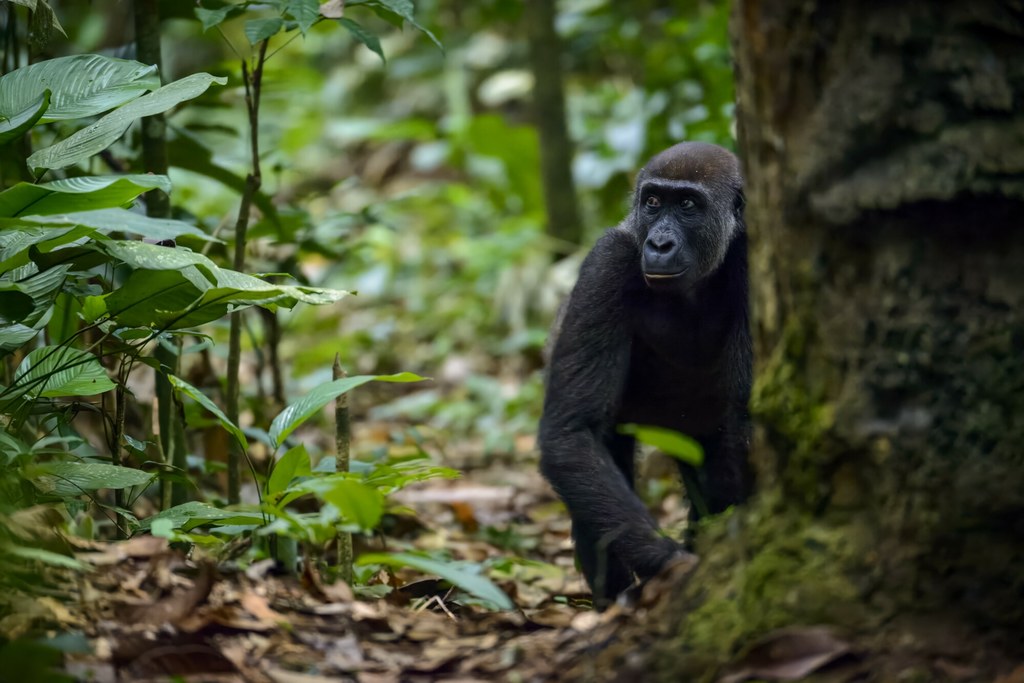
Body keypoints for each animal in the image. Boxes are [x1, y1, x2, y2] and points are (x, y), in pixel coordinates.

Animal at [540, 141, 749, 606]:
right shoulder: (607, 261)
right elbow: (572, 434)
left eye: (688, 205)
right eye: (653, 203)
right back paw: (612, 601)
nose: (659, 243)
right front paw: (672, 564)